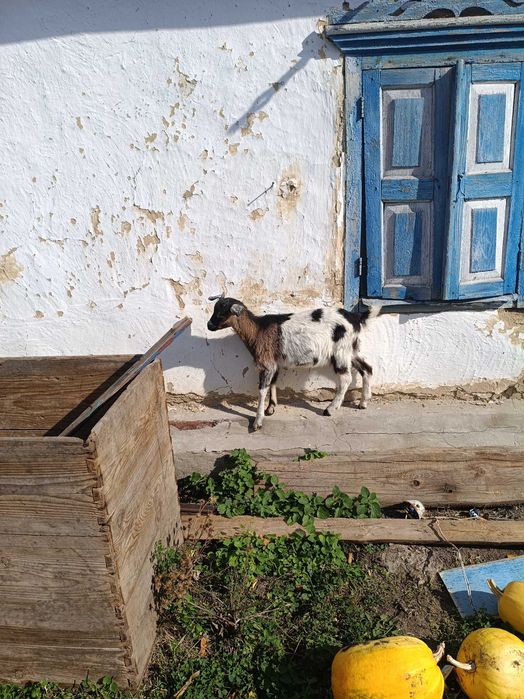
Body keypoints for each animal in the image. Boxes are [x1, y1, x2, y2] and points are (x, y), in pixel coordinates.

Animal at [207, 294, 379, 430]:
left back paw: (330, 409)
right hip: (352, 349)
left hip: (340, 351)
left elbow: (262, 390)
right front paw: (271, 408)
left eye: (221, 313)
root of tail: (355, 318)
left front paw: (257, 421)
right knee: (367, 369)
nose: (209, 325)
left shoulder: (266, 363)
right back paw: (363, 402)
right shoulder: (275, 362)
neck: (257, 330)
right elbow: (274, 382)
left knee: (345, 379)